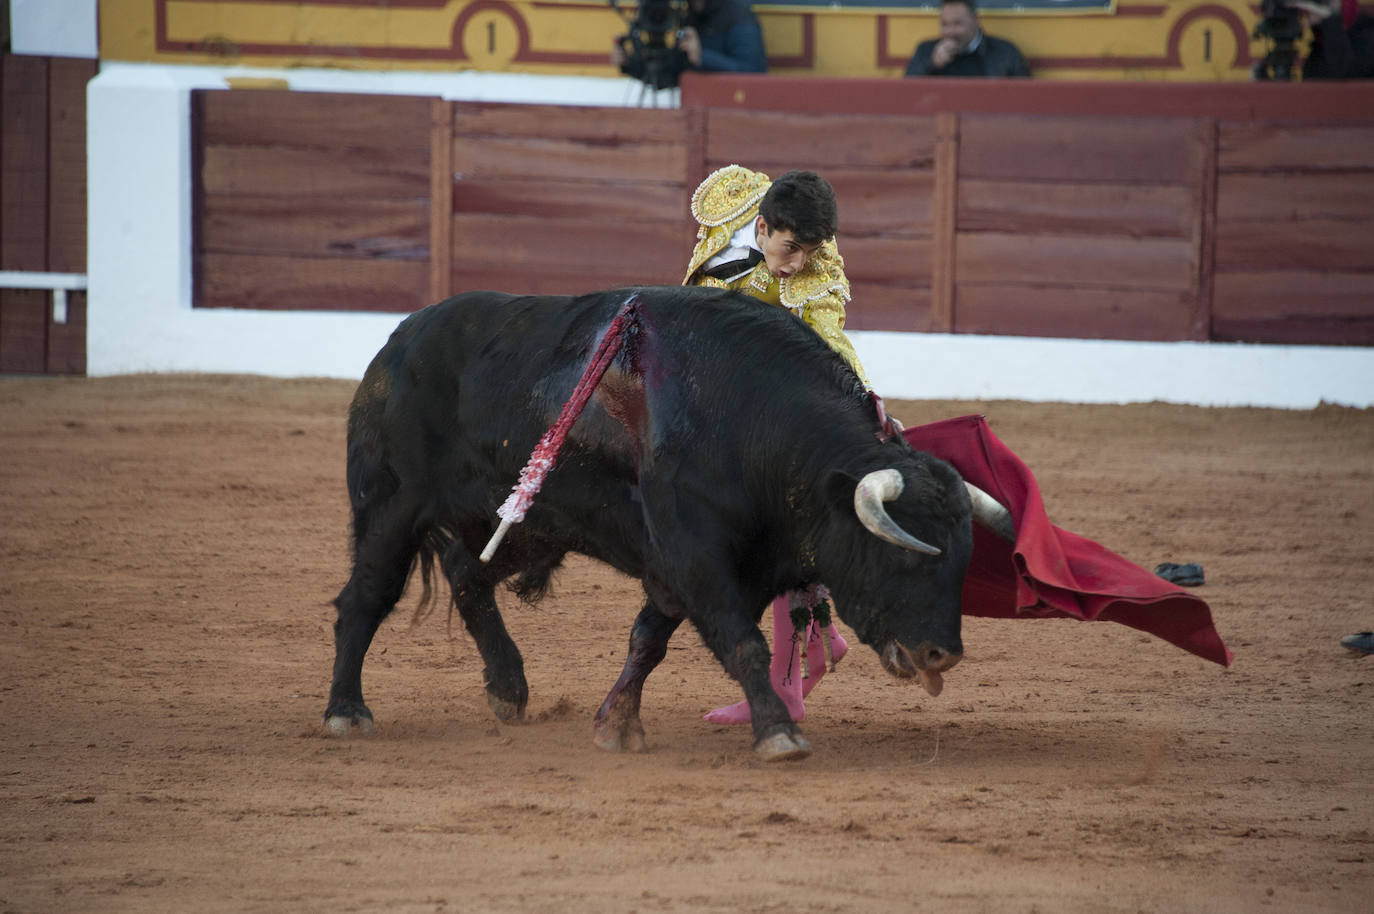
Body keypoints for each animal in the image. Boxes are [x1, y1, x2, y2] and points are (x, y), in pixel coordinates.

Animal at [325, 288, 972, 758]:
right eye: (902, 552)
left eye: (962, 562)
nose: (942, 654)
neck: (749, 418)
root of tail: (399, 340)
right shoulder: (696, 554)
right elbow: (743, 642)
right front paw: (778, 733)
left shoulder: (722, 565)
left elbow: (650, 639)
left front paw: (616, 724)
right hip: (391, 509)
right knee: (365, 598)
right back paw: (347, 713)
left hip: (519, 524)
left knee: (467, 574)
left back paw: (508, 689)